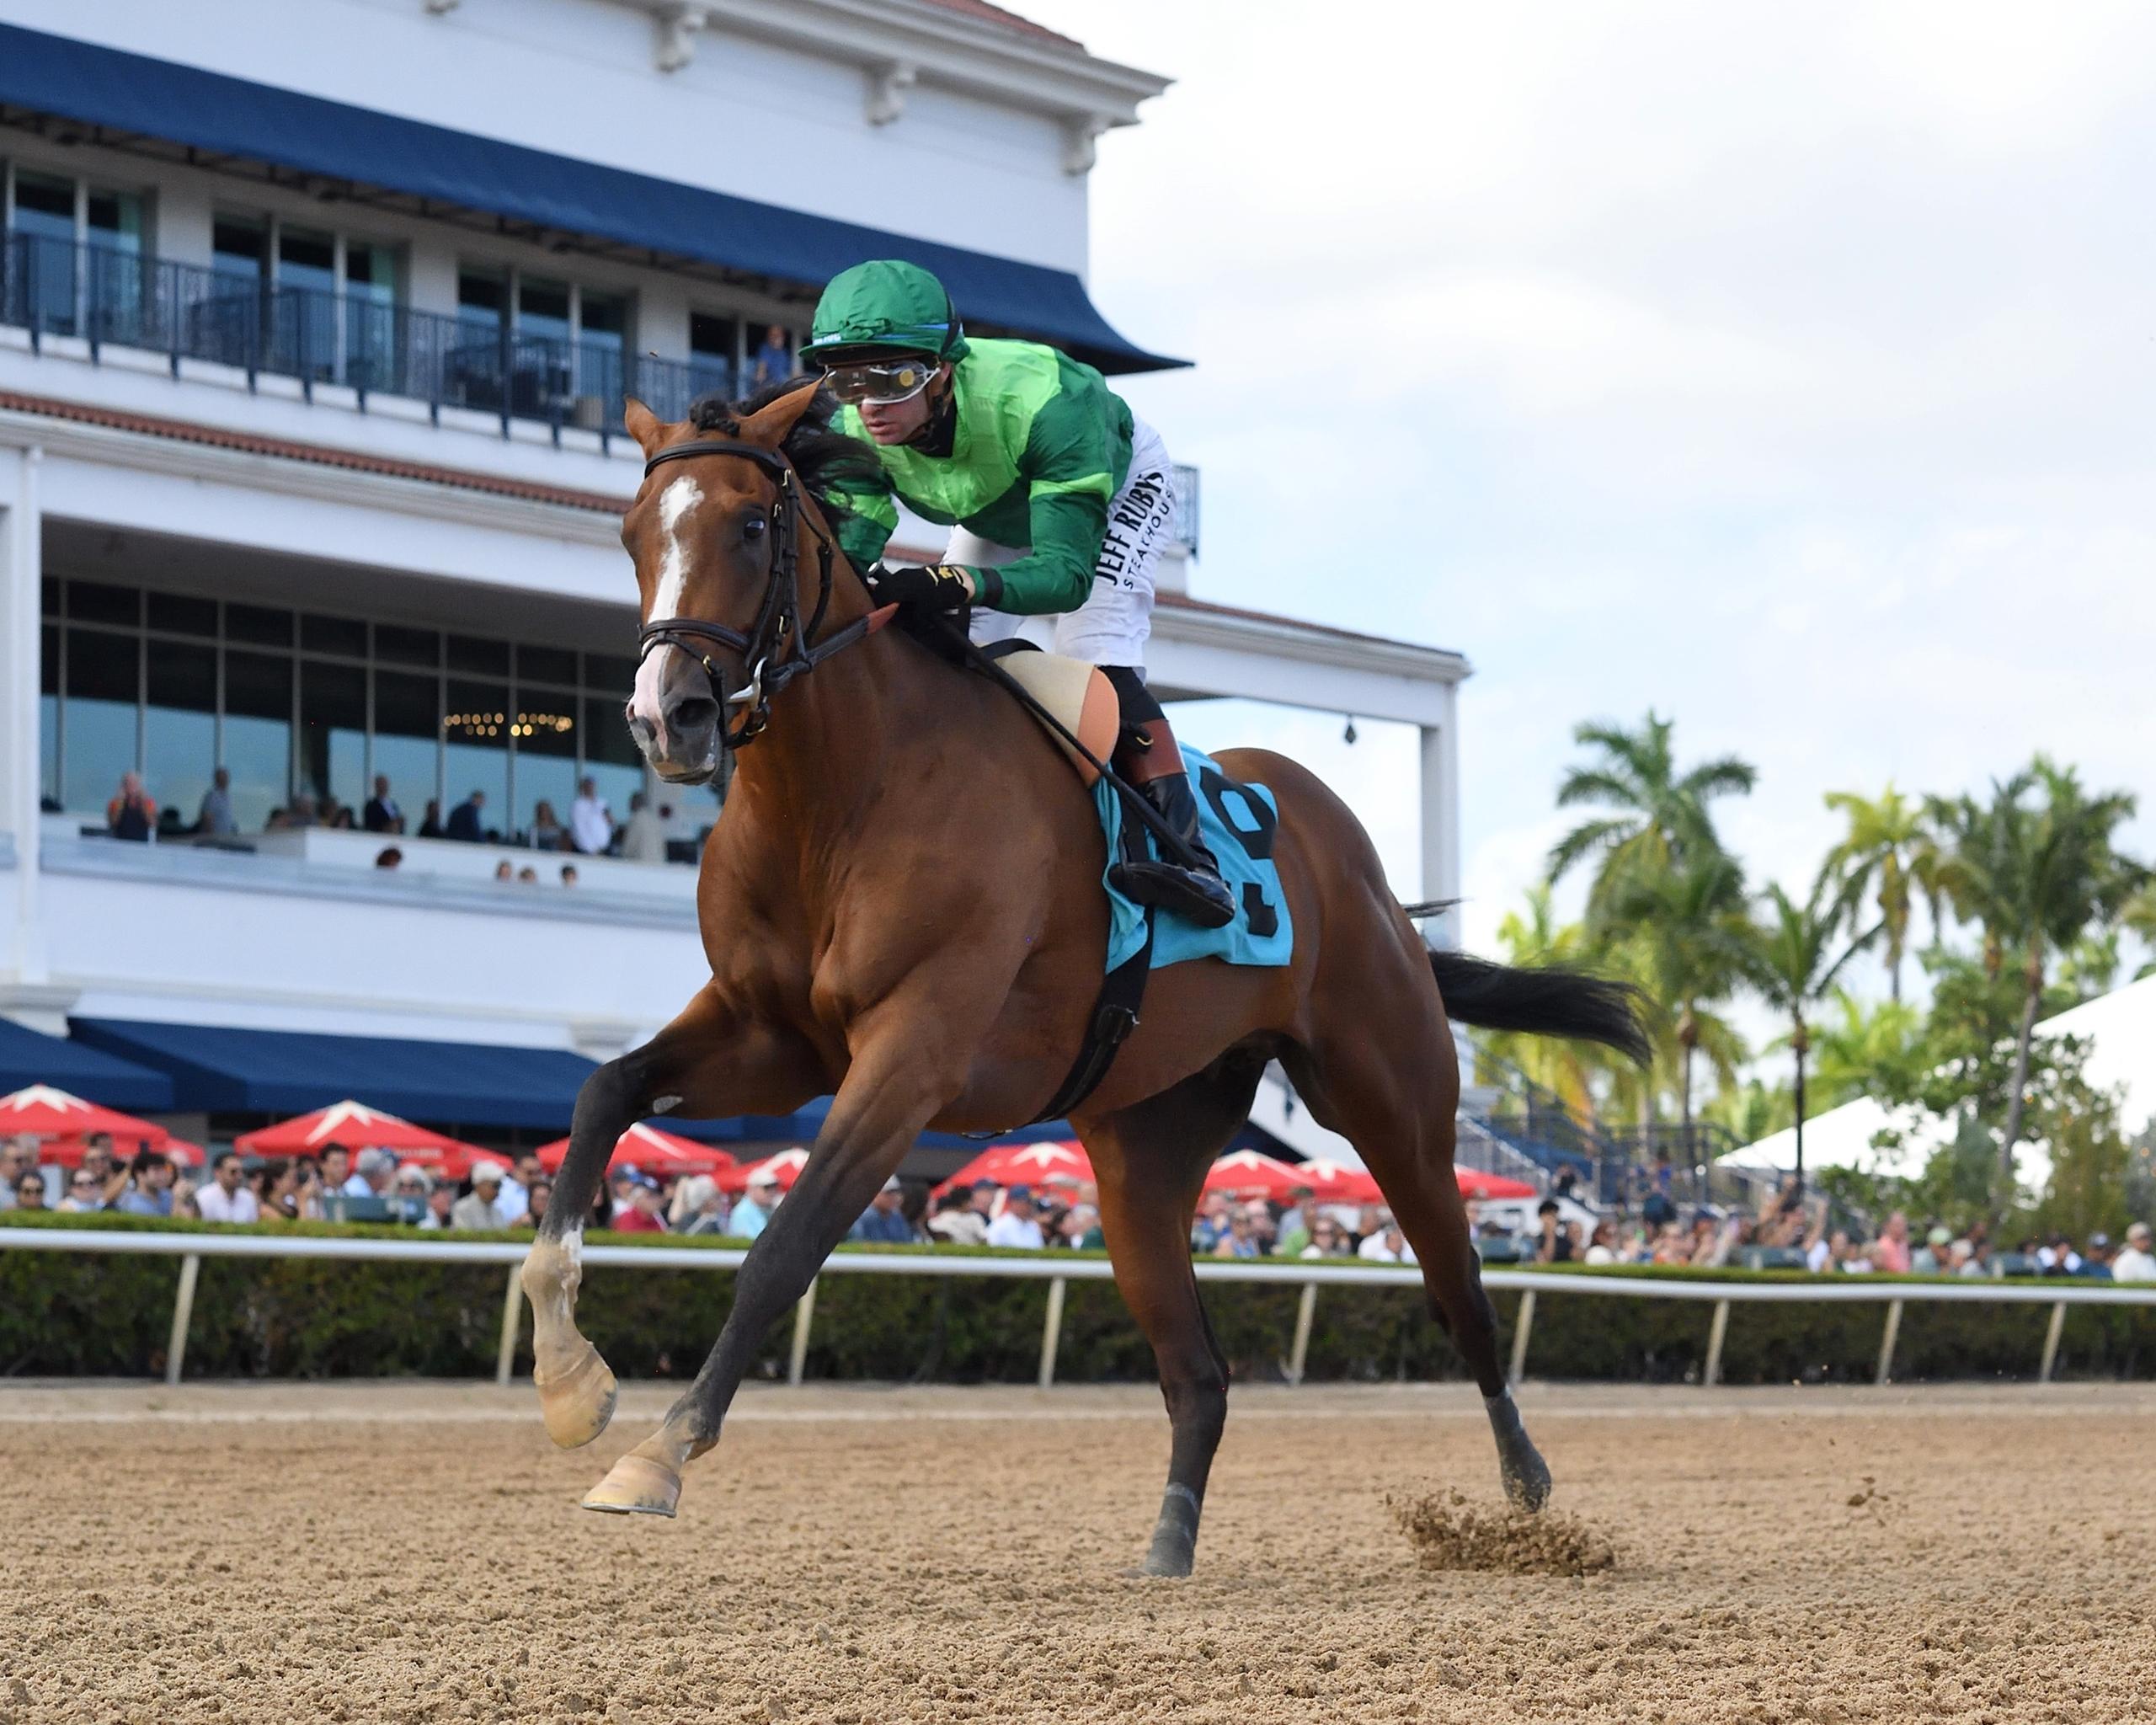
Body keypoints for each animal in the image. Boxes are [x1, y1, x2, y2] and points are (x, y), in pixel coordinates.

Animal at [517, 379, 1648, 1576]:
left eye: (747, 524)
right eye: (633, 534)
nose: (665, 714)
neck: (844, 793)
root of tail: (1369, 880)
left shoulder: (913, 1051)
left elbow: (783, 1248)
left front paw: (658, 1452)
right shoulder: (771, 1037)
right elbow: (602, 1090)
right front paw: (570, 1383)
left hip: (1391, 1104)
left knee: (1459, 1291)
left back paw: (1528, 1494)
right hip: (1142, 1145)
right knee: (1199, 1371)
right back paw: (1168, 1542)